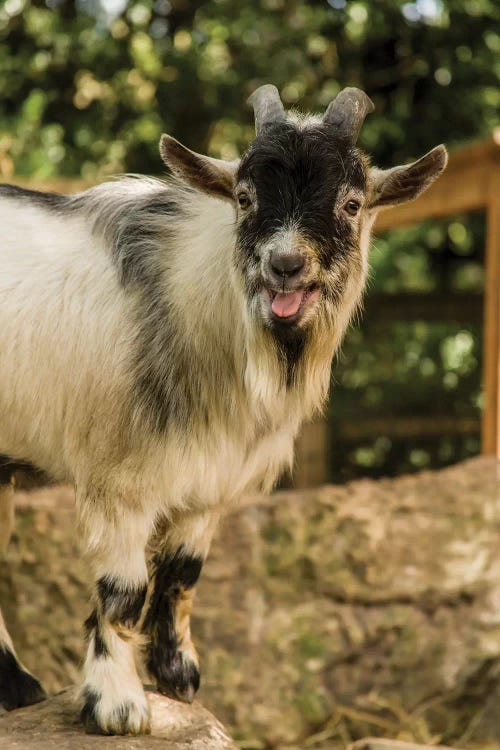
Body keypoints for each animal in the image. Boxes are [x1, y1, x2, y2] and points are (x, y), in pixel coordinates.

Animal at [0, 86, 448, 736]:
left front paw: (178, 679)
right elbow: (123, 591)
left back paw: (16, 687)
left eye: (352, 202)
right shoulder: (120, 483)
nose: (285, 265)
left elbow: (181, 577)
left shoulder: (206, 486)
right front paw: (117, 706)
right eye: (244, 197)